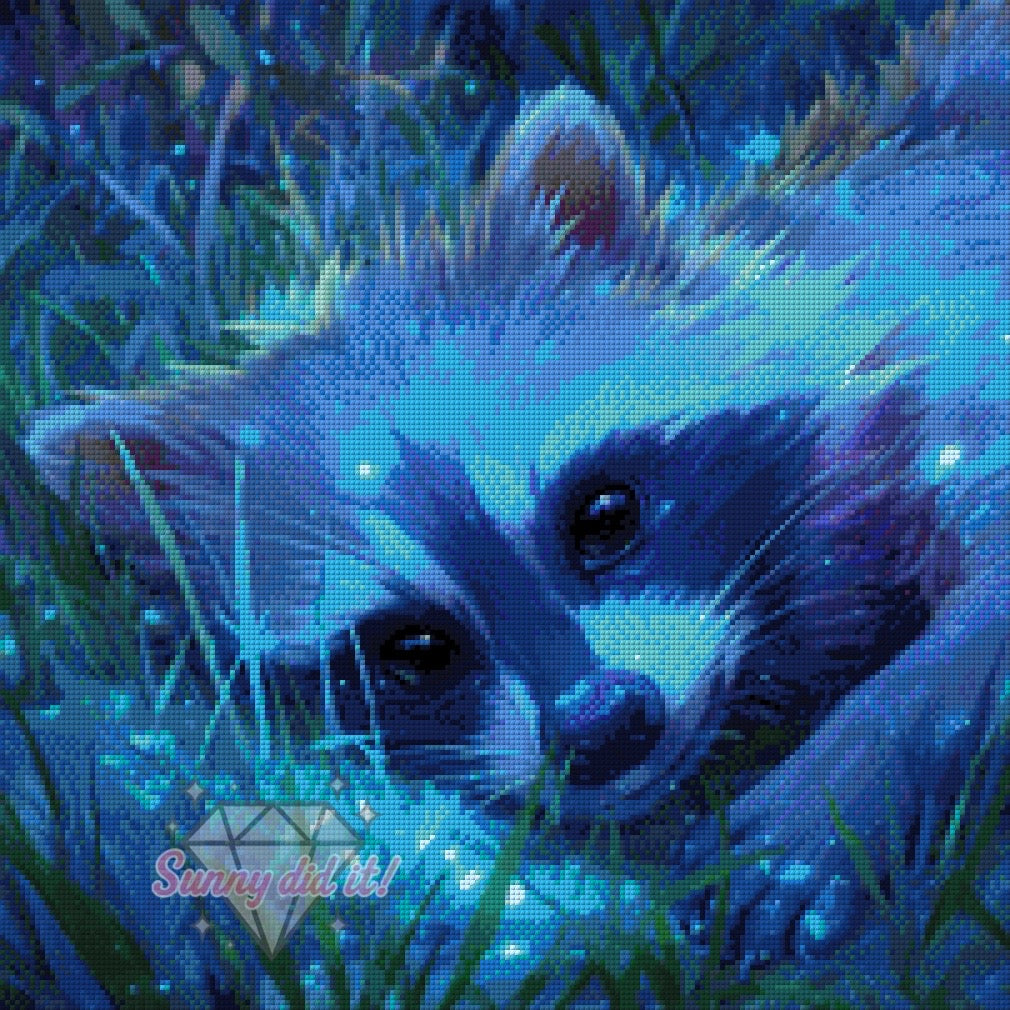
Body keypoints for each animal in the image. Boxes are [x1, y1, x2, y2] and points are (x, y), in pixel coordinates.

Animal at [13, 0, 1010, 995]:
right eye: (413, 649)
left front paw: (856, 764)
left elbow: (984, 603)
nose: (602, 726)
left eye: (606, 515)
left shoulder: (949, 317)